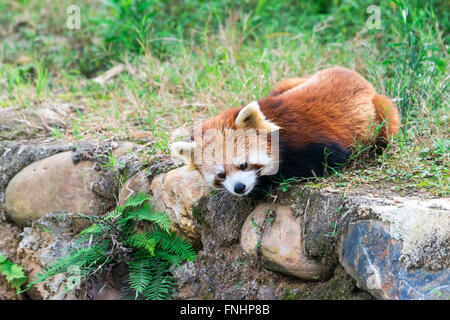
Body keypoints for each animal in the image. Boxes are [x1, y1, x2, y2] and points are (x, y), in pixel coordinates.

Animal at [171, 67, 400, 196]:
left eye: (243, 165)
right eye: (221, 174)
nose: (239, 188)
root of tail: (355, 74)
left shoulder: (315, 144)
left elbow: (321, 163)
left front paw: (263, 186)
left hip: (380, 113)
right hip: (292, 82)